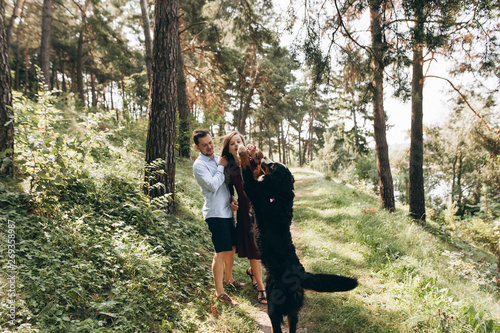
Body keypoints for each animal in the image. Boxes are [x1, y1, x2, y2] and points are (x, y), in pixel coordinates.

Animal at [237, 147, 358, 332]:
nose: (264, 156)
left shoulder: (252, 189)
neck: (279, 191)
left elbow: (246, 172)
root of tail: (300, 275)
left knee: (276, 325)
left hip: (274, 306)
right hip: (293, 311)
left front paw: (242, 152)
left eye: (273, 165)